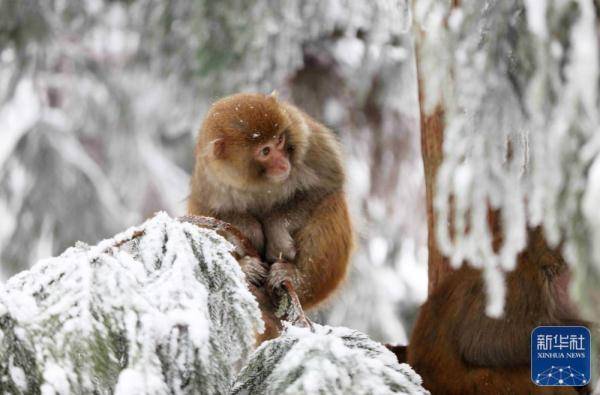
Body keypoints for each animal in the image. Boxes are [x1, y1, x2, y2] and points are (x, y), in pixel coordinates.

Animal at [190, 93, 354, 318]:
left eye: (280, 140)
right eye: (265, 151)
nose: (284, 164)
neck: (261, 181)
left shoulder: (310, 142)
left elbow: (328, 183)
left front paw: (276, 231)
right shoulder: (208, 179)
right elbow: (208, 217)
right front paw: (251, 230)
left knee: (331, 203)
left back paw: (299, 280)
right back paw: (246, 267)